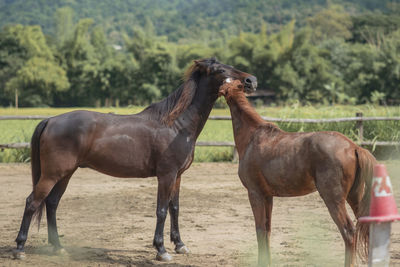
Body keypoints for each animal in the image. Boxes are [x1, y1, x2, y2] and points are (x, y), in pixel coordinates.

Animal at [14, 58, 258, 262]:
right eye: (221, 70)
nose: (251, 81)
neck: (177, 126)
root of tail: (51, 120)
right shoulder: (166, 175)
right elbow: (161, 210)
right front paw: (161, 250)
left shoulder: (177, 176)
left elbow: (175, 208)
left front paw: (180, 245)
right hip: (52, 174)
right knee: (32, 202)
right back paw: (20, 249)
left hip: (65, 174)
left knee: (52, 203)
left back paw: (58, 247)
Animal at [217, 80, 376, 266]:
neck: (252, 137)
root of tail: (353, 147)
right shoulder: (267, 196)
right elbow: (267, 230)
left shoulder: (255, 193)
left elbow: (260, 230)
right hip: (354, 196)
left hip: (334, 199)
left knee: (349, 231)